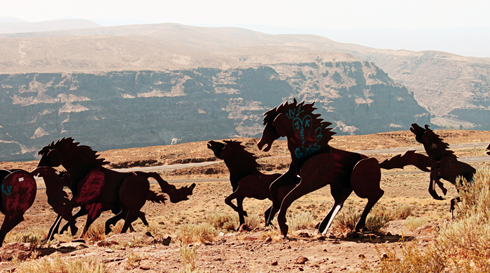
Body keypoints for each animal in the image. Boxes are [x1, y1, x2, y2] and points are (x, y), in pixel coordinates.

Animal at [38, 137, 195, 237]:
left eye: (47, 155)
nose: (39, 169)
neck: (84, 169)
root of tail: (144, 175)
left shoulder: (86, 201)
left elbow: (67, 210)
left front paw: (66, 230)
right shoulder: (84, 204)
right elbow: (65, 211)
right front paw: (57, 232)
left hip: (130, 201)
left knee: (131, 215)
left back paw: (119, 231)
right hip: (123, 202)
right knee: (129, 215)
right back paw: (111, 226)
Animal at [255, 99, 384, 237]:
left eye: (272, 125)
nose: (260, 144)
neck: (309, 149)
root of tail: (378, 163)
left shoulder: (309, 183)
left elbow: (287, 198)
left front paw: (283, 227)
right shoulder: (294, 176)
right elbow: (273, 187)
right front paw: (271, 218)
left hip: (359, 187)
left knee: (377, 194)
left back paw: (358, 225)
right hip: (340, 186)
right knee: (339, 202)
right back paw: (322, 227)